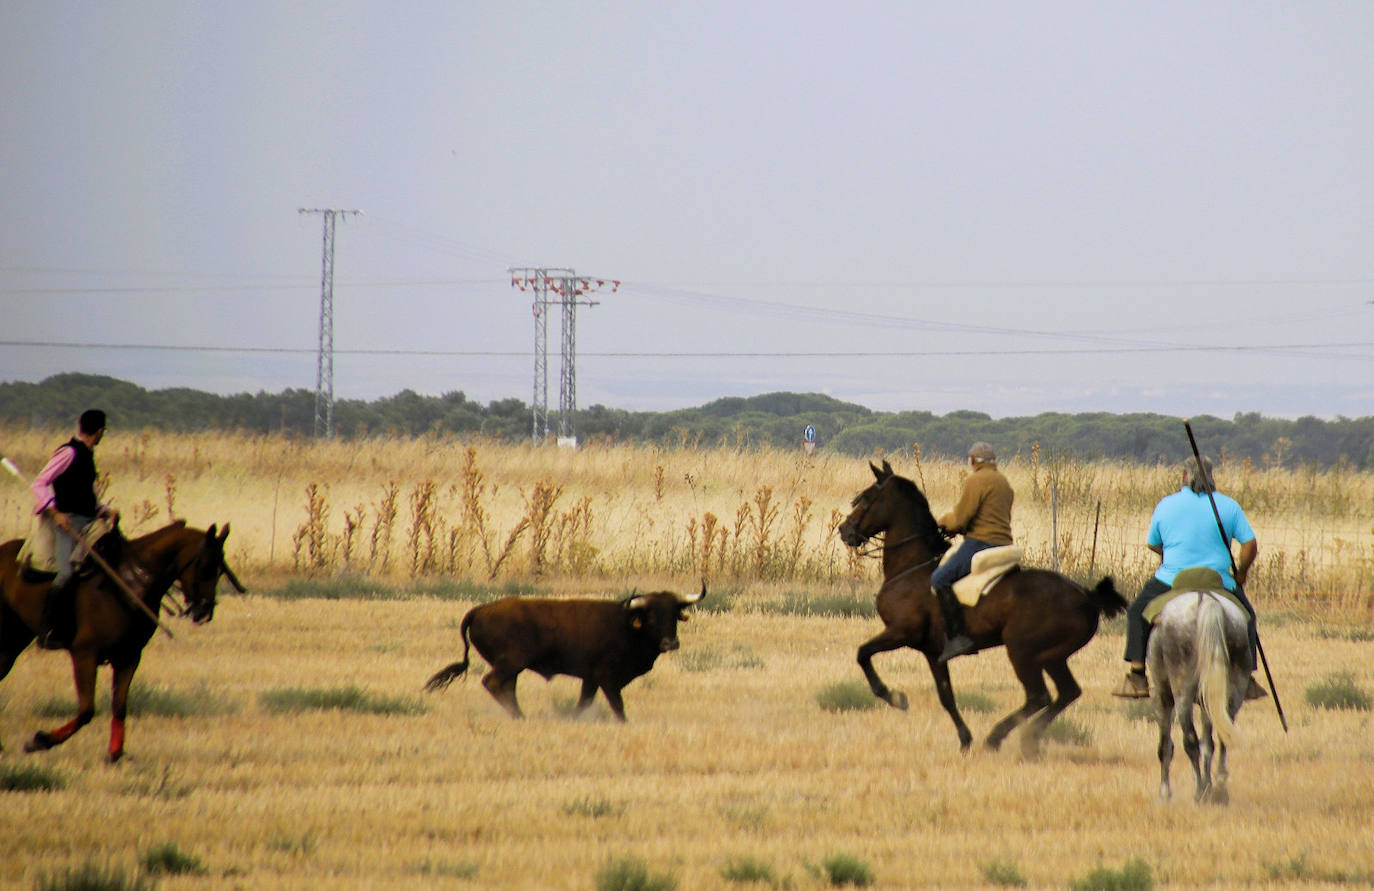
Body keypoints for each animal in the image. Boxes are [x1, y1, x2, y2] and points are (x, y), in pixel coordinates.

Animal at [0, 522, 241, 764]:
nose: (204, 612)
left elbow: (119, 706)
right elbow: (87, 710)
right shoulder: (84, 654)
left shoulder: (129, 657)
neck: (125, 587)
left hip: (14, 641)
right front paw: (40, 740)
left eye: (221, 569)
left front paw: (114, 754)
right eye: (205, 566)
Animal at [420, 585, 703, 726]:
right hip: (510, 663)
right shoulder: (607, 678)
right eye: (652, 616)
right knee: (494, 683)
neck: (627, 624)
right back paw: (520, 717)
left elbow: (583, 703)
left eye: (674, 614)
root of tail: (480, 610)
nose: (671, 642)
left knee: (506, 688)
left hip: (512, 667)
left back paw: (520, 716)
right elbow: (617, 706)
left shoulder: (591, 679)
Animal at [835, 462, 1126, 753]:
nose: (844, 531)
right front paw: (964, 739)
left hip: (1022, 650)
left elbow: (863, 654)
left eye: (866, 498)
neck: (912, 566)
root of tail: (1087, 596)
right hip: (1053, 656)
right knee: (1066, 693)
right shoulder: (932, 652)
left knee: (1038, 696)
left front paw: (895, 697)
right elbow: (946, 696)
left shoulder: (900, 633)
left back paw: (999, 737)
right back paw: (1029, 739)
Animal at [1143, 588, 1253, 803]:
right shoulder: (1207, 702)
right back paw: (1218, 787)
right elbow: (1208, 744)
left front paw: (1165, 792)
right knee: (1222, 735)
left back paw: (1200, 791)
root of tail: (1206, 600)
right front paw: (1210, 784)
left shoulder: (1161, 697)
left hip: (1181, 692)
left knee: (1190, 741)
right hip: (1232, 690)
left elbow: (1166, 746)